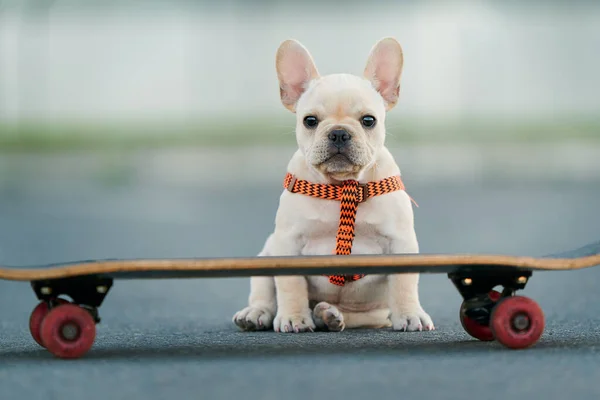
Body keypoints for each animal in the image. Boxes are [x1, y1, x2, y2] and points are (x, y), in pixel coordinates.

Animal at [232, 37, 434, 332]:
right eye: (310, 121)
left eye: (369, 120)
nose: (339, 133)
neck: (341, 187)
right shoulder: (287, 243)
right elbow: (290, 285)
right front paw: (294, 317)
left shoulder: (400, 242)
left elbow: (404, 283)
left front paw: (409, 314)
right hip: (266, 253)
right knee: (265, 293)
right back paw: (257, 313)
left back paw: (329, 314)